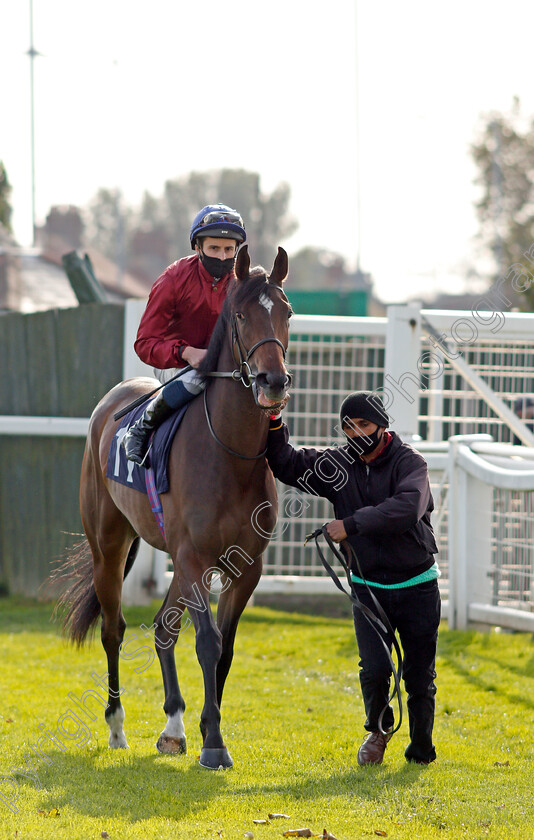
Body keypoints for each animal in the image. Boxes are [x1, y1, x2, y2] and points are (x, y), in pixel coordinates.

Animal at [57, 244, 294, 768]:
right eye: (241, 315)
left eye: (287, 312)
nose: (272, 381)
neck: (229, 454)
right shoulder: (193, 556)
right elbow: (207, 642)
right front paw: (214, 743)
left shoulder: (245, 565)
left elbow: (225, 648)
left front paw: (206, 729)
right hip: (108, 545)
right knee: (114, 629)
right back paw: (117, 726)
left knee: (164, 628)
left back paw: (173, 727)